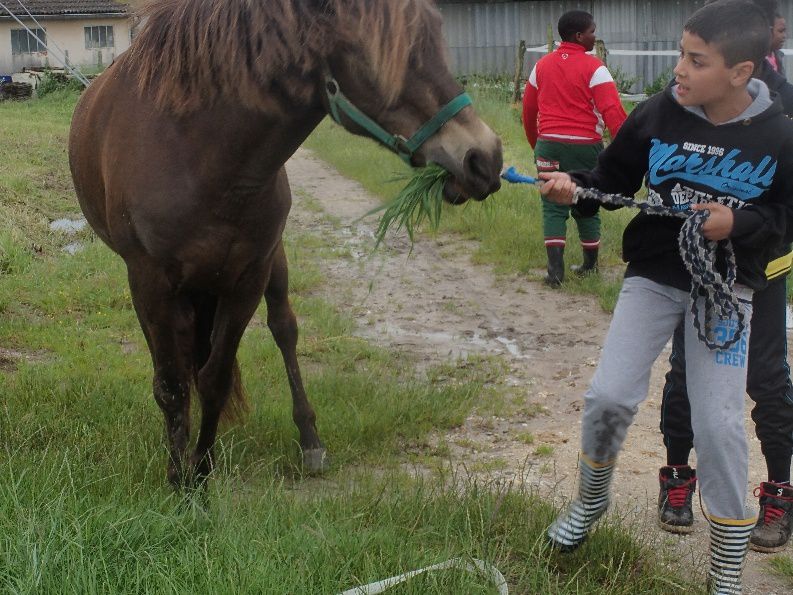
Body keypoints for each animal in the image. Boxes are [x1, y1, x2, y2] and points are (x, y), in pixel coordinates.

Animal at [68, 0, 502, 488]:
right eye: (377, 53)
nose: (484, 158)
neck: (197, 151)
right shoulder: (150, 281)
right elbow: (172, 385)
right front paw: (179, 478)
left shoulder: (247, 276)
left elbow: (215, 379)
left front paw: (202, 473)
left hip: (270, 263)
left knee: (282, 329)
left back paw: (310, 441)